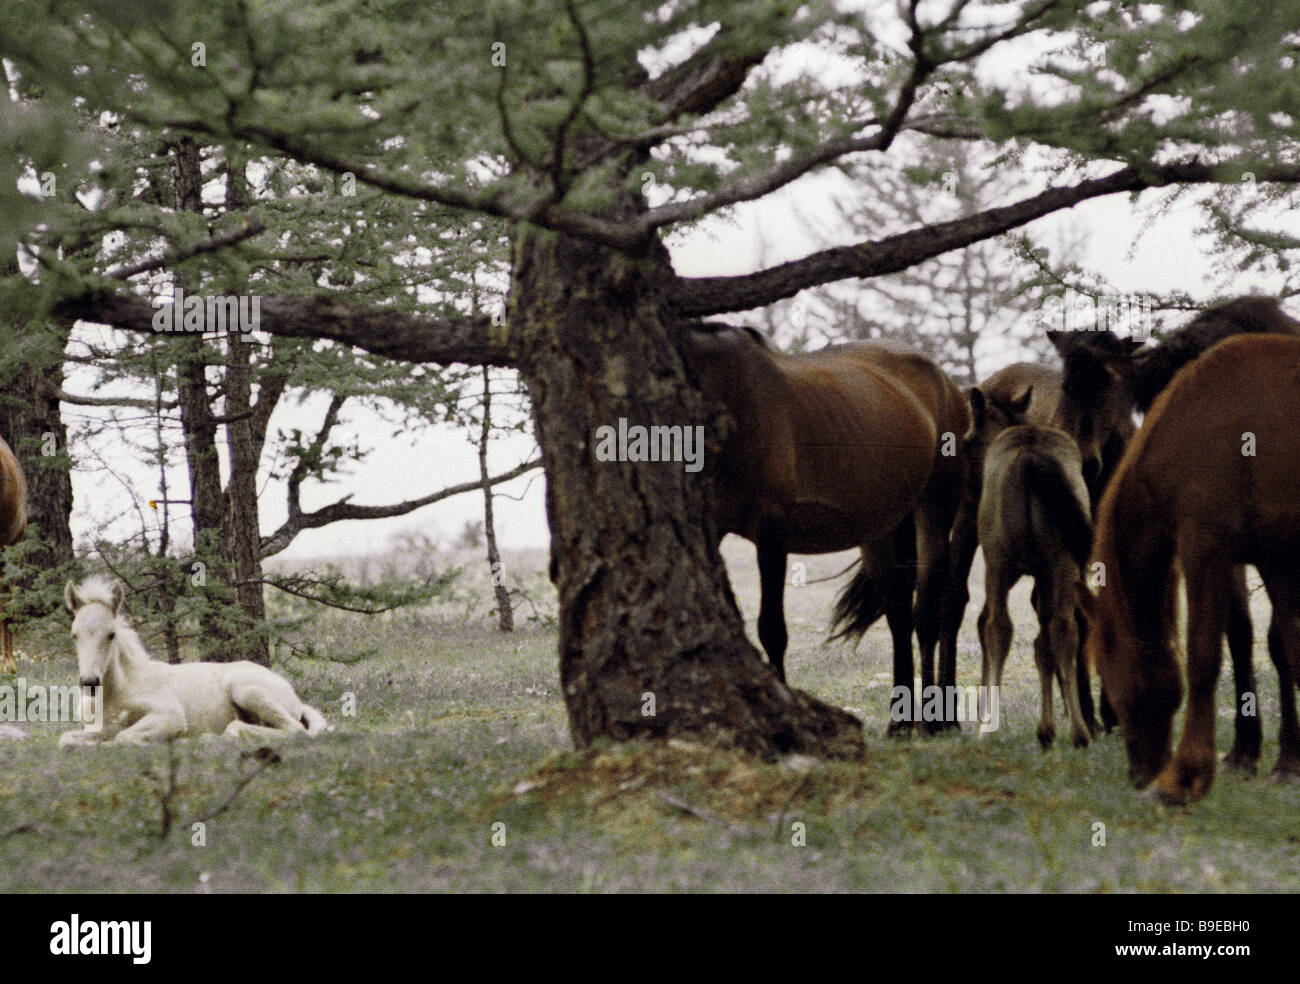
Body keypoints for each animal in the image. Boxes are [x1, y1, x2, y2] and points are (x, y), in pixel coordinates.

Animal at [59, 577, 328, 745]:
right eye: (74, 635)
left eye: (111, 634)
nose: (89, 682)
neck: (119, 690)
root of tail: (295, 698)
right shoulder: (95, 729)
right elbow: (66, 740)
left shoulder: (170, 716)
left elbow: (123, 737)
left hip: (246, 690)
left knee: (293, 730)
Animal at [686, 325, 969, 734]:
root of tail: (947, 382)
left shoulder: (772, 533)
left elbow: (772, 629)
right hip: (881, 532)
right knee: (899, 615)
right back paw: (900, 721)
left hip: (934, 509)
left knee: (929, 613)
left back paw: (936, 721)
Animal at [970, 389, 1094, 749]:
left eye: (967, 441)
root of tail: (1032, 457)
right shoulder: (1047, 577)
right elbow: (1044, 644)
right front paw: (1047, 727)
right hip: (1063, 565)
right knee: (1064, 629)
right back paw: (1078, 731)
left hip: (999, 563)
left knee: (998, 626)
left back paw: (988, 728)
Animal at [1055, 295, 1300, 772]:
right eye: (1065, 387)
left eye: (1109, 387)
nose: (1084, 461)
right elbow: (1238, 632)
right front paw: (1245, 748)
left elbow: (1280, 638)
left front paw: (1289, 757)